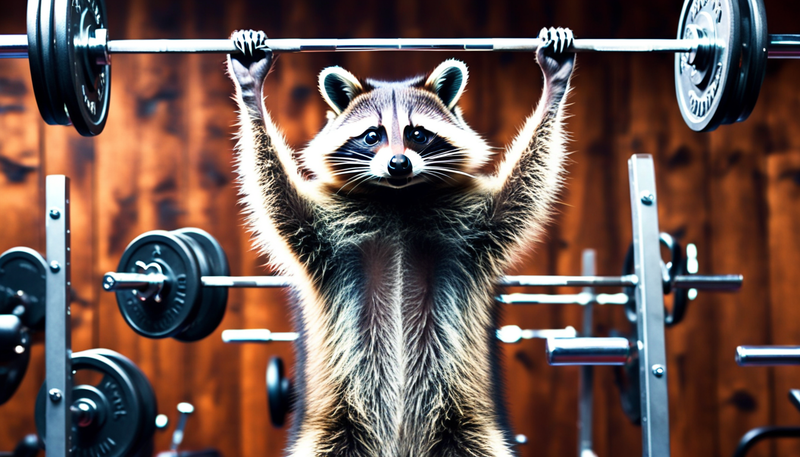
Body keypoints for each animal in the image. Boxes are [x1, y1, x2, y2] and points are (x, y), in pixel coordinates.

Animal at [227, 28, 576, 456]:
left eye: (417, 133)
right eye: (372, 136)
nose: (398, 164)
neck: (398, 198)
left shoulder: (475, 231)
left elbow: (520, 195)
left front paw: (553, 87)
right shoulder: (324, 237)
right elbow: (279, 202)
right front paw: (251, 94)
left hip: (464, 427)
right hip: (336, 428)